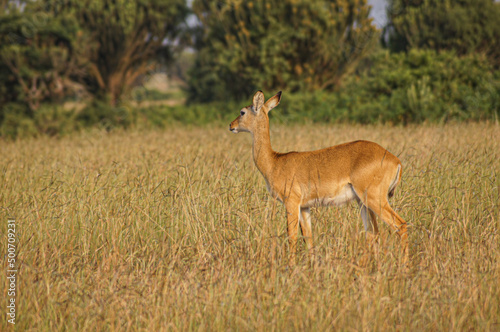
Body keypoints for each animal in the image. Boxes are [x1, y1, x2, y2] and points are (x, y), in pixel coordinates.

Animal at [230, 90, 410, 264]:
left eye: (242, 112)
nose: (231, 125)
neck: (275, 162)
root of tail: (395, 160)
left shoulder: (291, 202)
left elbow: (292, 236)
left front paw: (290, 266)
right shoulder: (304, 207)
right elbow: (308, 238)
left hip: (374, 199)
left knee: (400, 225)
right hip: (363, 202)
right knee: (372, 232)